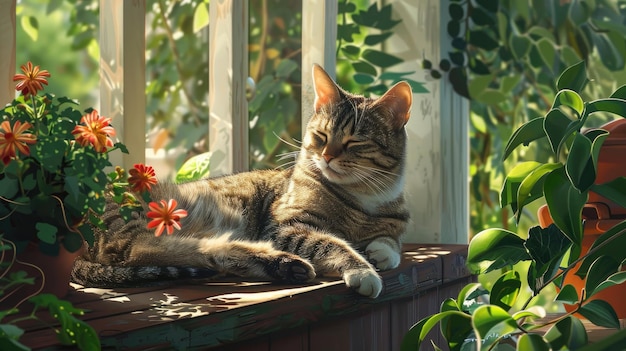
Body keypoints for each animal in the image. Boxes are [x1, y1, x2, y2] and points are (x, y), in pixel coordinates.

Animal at [70, 64, 412, 298]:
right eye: (322, 136)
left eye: (354, 142)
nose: (327, 157)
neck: (364, 198)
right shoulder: (287, 226)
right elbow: (332, 242)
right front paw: (362, 269)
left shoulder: (392, 222)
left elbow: (392, 240)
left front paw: (382, 252)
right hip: (146, 219)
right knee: (148, 250)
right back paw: (280, 260)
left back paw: (281, 267)